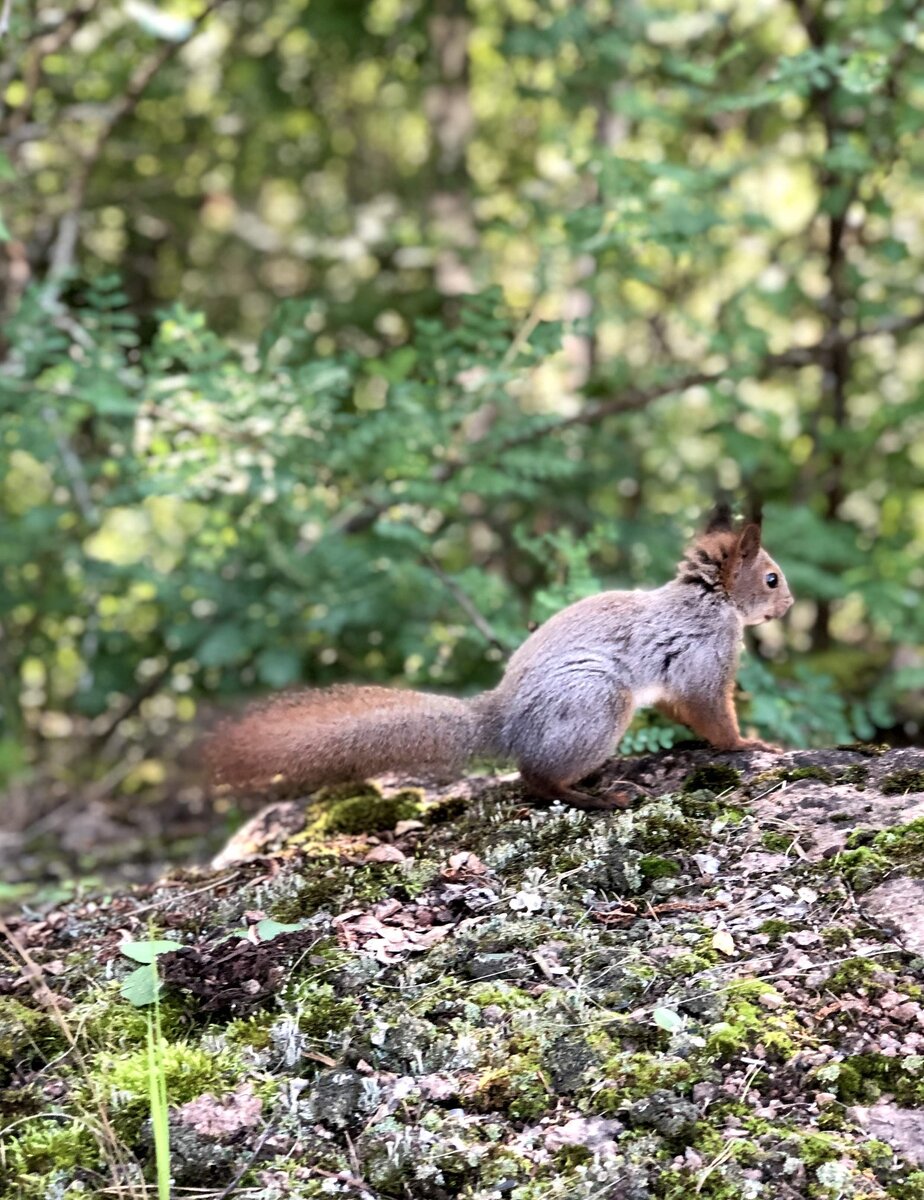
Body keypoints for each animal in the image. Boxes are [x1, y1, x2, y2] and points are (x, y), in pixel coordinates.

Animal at [204, 506, 792, 816]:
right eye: (771, 578)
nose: (788, 606)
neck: (711, 598)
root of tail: (503, 721)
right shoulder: (706, 653)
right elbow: (712, 711)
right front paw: (750, 744)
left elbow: (682, 709)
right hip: (598, 700)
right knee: (536, 779)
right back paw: (598, 796)